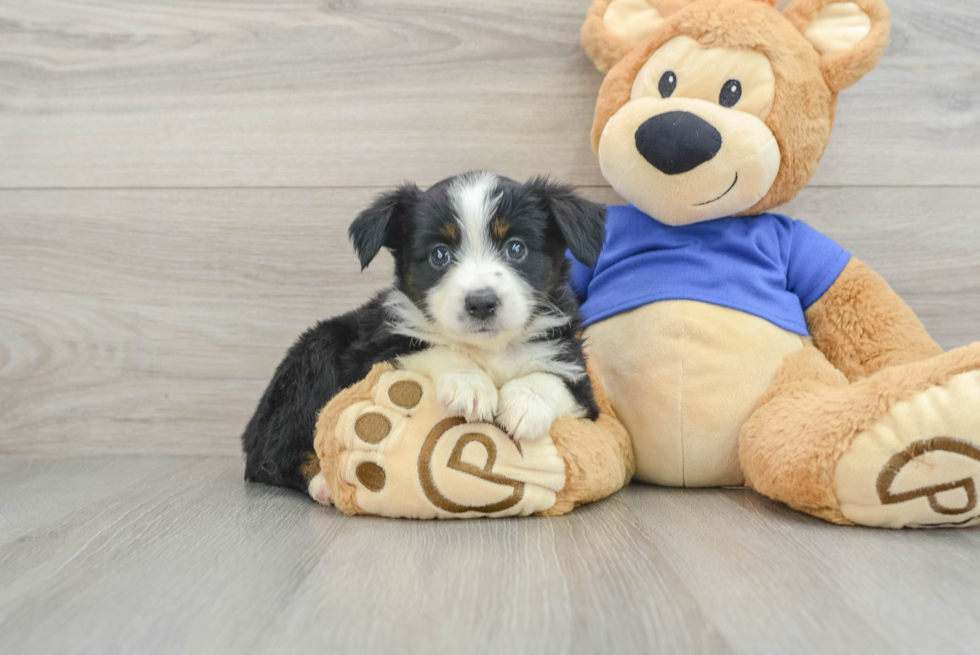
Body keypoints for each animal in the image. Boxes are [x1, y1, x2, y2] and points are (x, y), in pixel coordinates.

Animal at [241, 170, 604, 502]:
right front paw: (469, 384)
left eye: (516, 248)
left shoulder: (579, 378)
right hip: (316, 353)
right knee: (273, 452)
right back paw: (322, 482)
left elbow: (553, 379)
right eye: (439, 254)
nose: (481, 303)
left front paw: (526, 404)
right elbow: (432, 349)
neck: (488, 348)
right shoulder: (378, 348)